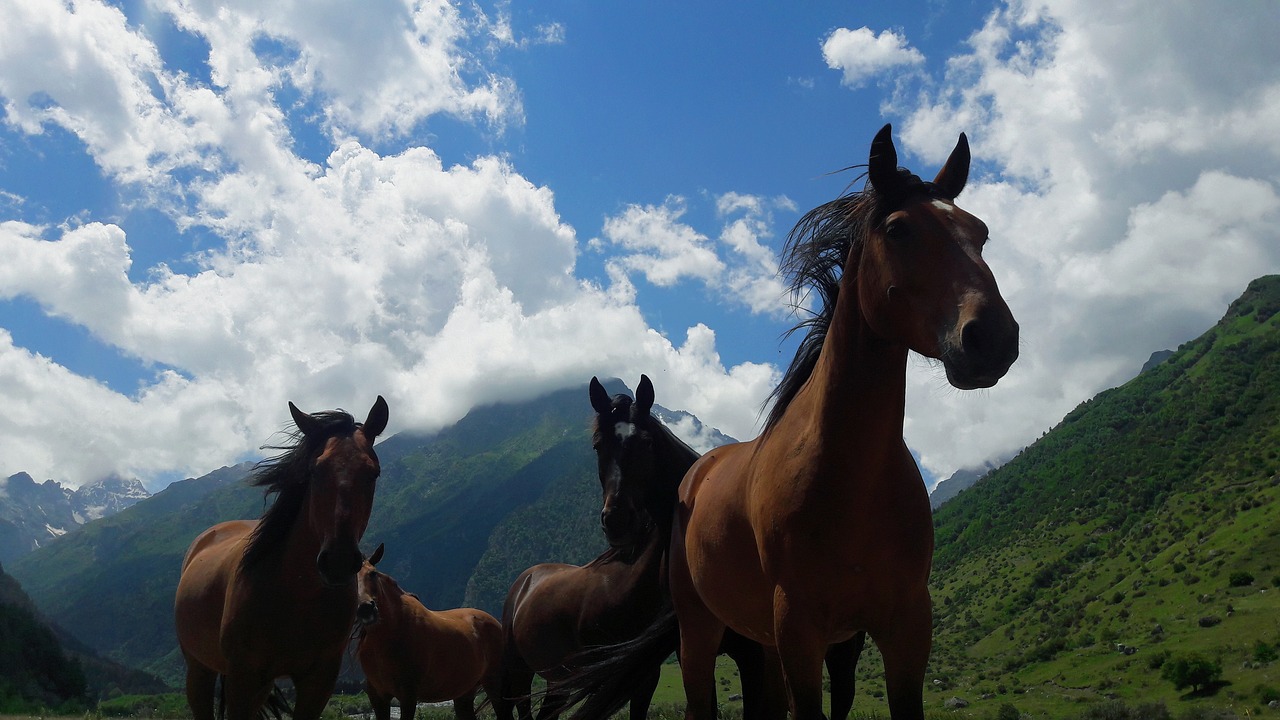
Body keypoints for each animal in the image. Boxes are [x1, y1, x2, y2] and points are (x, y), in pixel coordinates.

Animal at [174, 394, 389, 717]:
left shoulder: (319, 681)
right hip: (200, 671)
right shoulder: (244, 679)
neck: (296, 592)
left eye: (373, 472)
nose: (337, 561)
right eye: (315, 470)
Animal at [355, 540, 509, 717]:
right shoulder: (378, 698)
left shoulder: (408, 696)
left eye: (373, 573)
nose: (365, 608)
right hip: (465, 693)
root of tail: (496, 623)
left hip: (494, 685)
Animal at [504, 376, 865, 717]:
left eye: (646, 443)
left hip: (841, 653)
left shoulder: (753, 653)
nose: (618, 520)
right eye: (597, 445)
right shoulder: (692, 642)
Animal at [560, 122, 1018, 717]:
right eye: (898, 230)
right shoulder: (800, 631)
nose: (992, 338)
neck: (851, 484)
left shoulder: (901, 629)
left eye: (979, 232)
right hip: (702, 634)